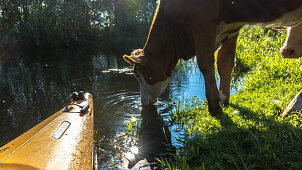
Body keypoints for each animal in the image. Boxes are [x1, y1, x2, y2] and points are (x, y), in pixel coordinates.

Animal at [122, 0, 302, 115]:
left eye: (137, 74)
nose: (143, 102)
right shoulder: (232, 25)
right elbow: (225, 60)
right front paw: (224, 99)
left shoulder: (202, 21)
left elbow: (205, 62)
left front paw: (214, 106)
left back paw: (293, 106)